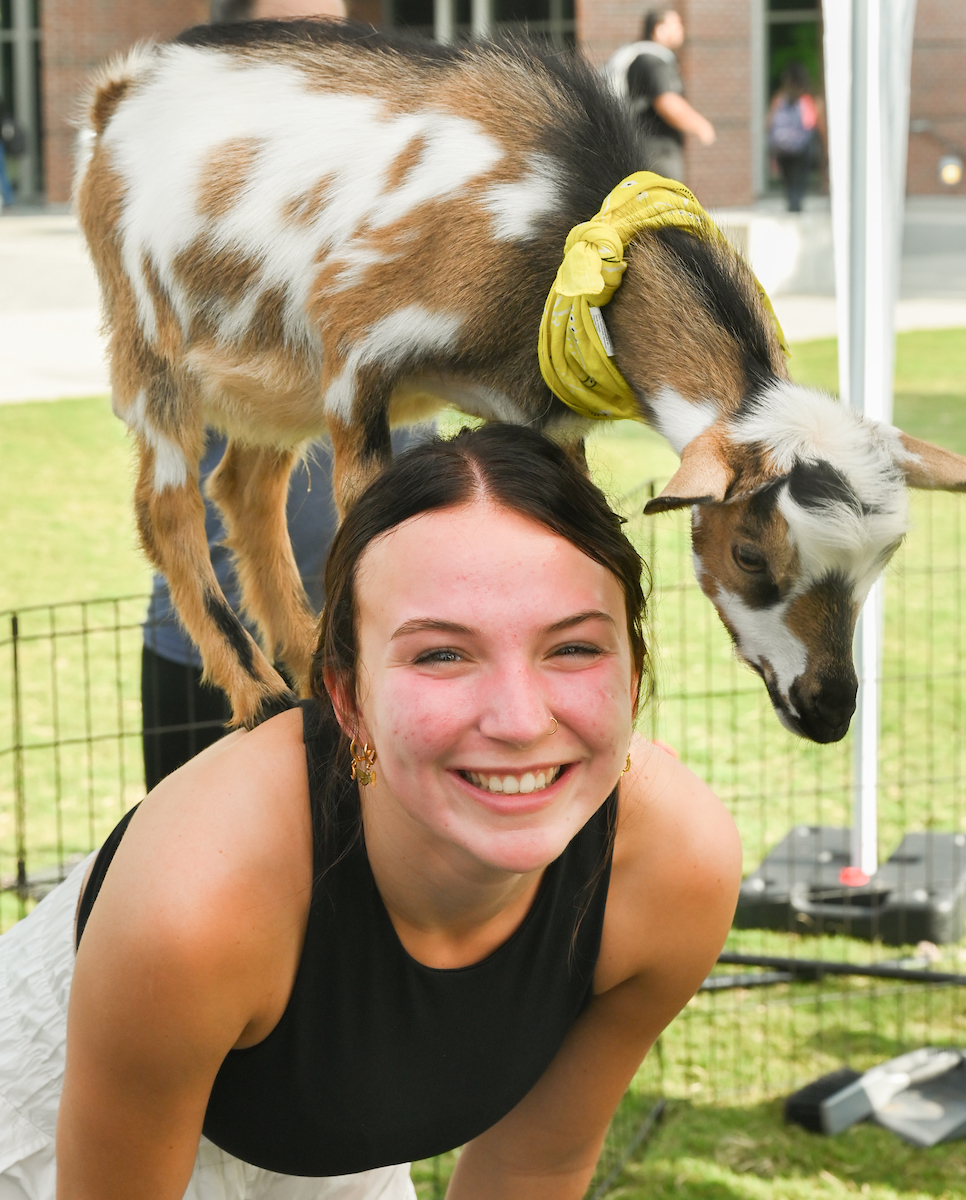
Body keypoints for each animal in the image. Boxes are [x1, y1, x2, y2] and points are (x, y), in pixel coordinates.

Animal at [77, 20, 966, 741]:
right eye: (750, 554)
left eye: (884, 559)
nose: (828, 711)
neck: (559, 221)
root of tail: (116, 96)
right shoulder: (356, 354)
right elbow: (363, 522)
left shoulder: (542, 419)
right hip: (153, 347)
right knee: (168, 510)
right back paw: (259, 692)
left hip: (271, 379)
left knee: (245, 488)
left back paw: (296, 659)